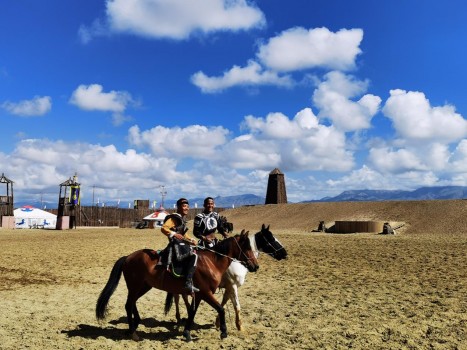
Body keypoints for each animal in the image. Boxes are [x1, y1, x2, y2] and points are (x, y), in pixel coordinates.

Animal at [95, 231, 260, 340]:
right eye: (247, 248)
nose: (256, 266)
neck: (212, 262)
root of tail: (128, 257)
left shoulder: (198, 295)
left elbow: (192, 312)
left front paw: (187, 333)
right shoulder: (206, 293)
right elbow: (221, 309)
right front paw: (224, 332)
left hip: (143, 286)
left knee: (132, 303)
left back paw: (135, 326)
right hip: (135, 286)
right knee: (128, 304)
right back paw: (133, 332)